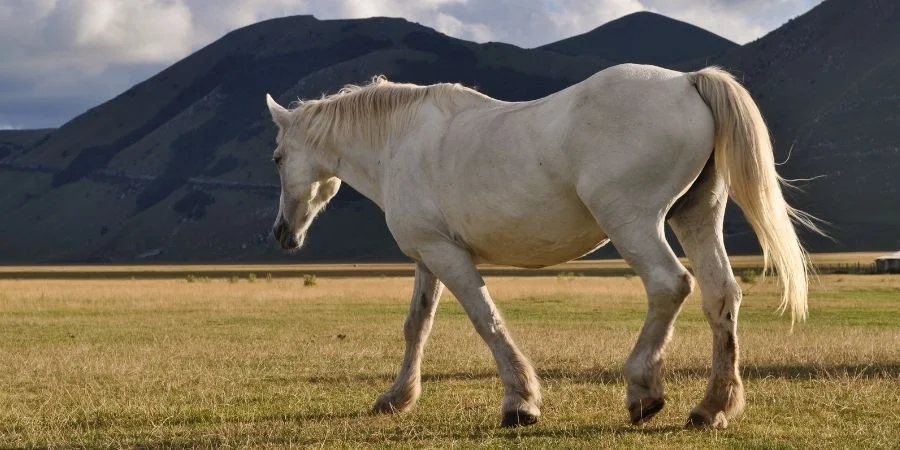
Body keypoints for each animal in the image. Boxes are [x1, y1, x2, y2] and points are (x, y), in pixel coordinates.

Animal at [264, 63, 815, 429]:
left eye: (276, 157)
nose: (282, 234)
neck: (399, 141)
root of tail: (686, 81)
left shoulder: (447, 257)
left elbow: (486, 319)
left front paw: (520, 402)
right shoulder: (431, 253)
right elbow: (417, 326)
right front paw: (397, 397)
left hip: (634, 222)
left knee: (669, 285)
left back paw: (643, 392)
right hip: (697, 216)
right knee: (720, 295)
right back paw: (712, 406)